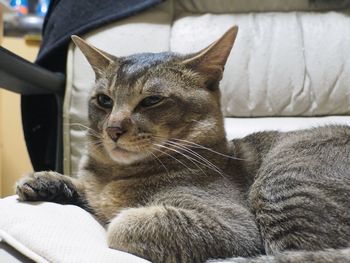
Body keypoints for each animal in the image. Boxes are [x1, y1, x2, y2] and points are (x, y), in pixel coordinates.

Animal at [15, 27, 350, 263]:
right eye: (104, 100)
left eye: (152, 100)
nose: (113, 129)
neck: (114, 176)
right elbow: (88, 193)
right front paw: (48, 182)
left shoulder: (234, 224)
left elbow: (120, 224)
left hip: (284, 176)